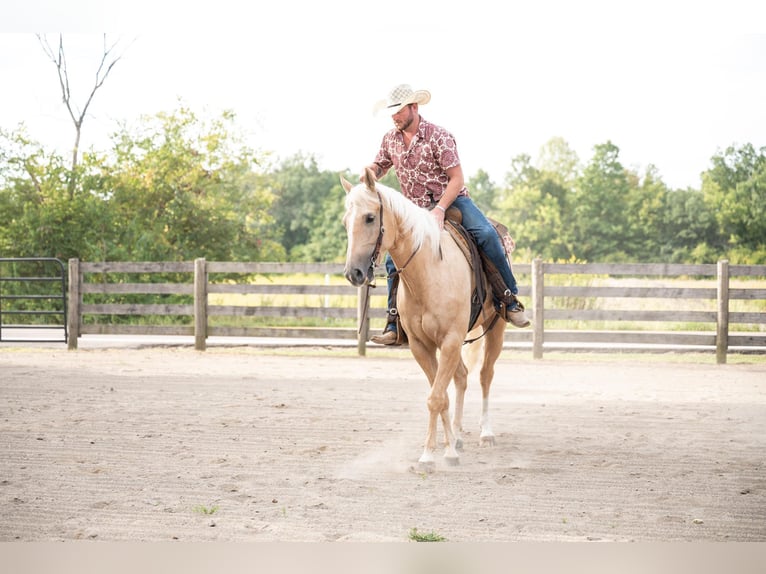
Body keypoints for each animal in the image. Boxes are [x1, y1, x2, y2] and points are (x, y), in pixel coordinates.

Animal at [342, 168, 510, 472]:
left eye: (370, 217)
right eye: (345, 221)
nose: (353, 273)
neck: (429, 271)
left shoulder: (451, 340)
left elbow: (435, 398)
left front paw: (431, 456)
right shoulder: (421, 345)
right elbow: (439, 396)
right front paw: (445, 448)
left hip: (496, 329)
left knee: (485, 376)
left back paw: (486, 433)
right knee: (462, 377)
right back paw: (457, 436)